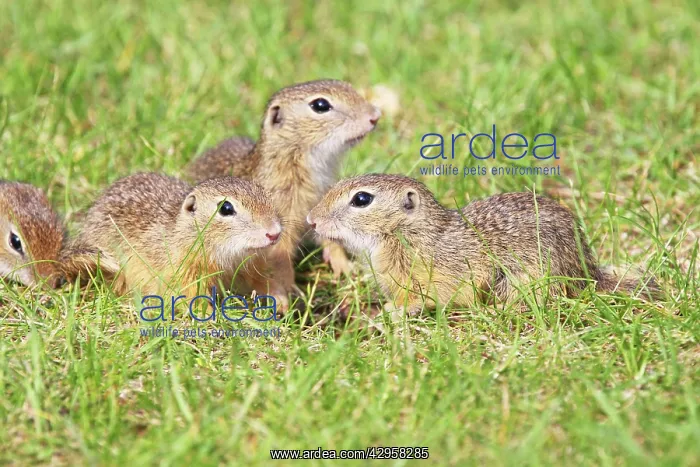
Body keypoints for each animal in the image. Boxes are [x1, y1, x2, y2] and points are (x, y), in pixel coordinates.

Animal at [61, 173, 283, 300]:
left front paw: (279, 299)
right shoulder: (184, 273)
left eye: (265, 194)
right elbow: (192, 295)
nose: (274, 233)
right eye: (226, 208)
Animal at [186, 79, 381, 307]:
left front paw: (345, 268)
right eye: (320, 105)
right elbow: (280, 257)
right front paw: (289, 290)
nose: (375, 115)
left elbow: (329, 238)